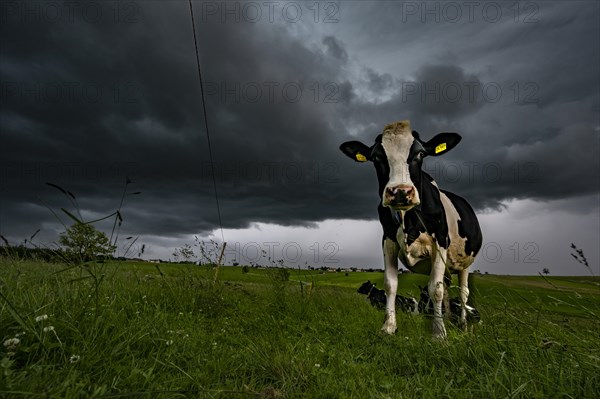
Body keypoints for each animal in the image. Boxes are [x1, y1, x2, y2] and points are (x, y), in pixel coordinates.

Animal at [340, 120, 486, 340]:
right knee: (445, 286)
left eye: (420, 153)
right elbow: (391, 284)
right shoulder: (388, 241)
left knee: (462, 292)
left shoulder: (440, 242)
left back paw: (462, 325)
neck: (407, 219)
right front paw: (388, 327)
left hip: (465, 264)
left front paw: (439, 334)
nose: (400, 191)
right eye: (376, 156)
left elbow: (435, 289)